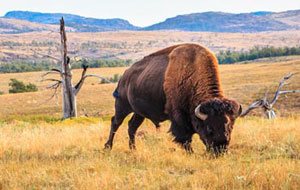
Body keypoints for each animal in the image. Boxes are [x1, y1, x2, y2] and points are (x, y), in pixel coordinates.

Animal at [104, 43, 243, 154]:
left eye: (230, 127)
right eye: (209, 128)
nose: (220, 150)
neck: (192, 74)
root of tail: (123, 77)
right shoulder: (178, 117)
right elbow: (184, 138)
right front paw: (191, 153)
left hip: (139, 113)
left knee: (132, 126)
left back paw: (133, 149)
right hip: (122, 106)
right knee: (115, 122)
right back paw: (108, 147)